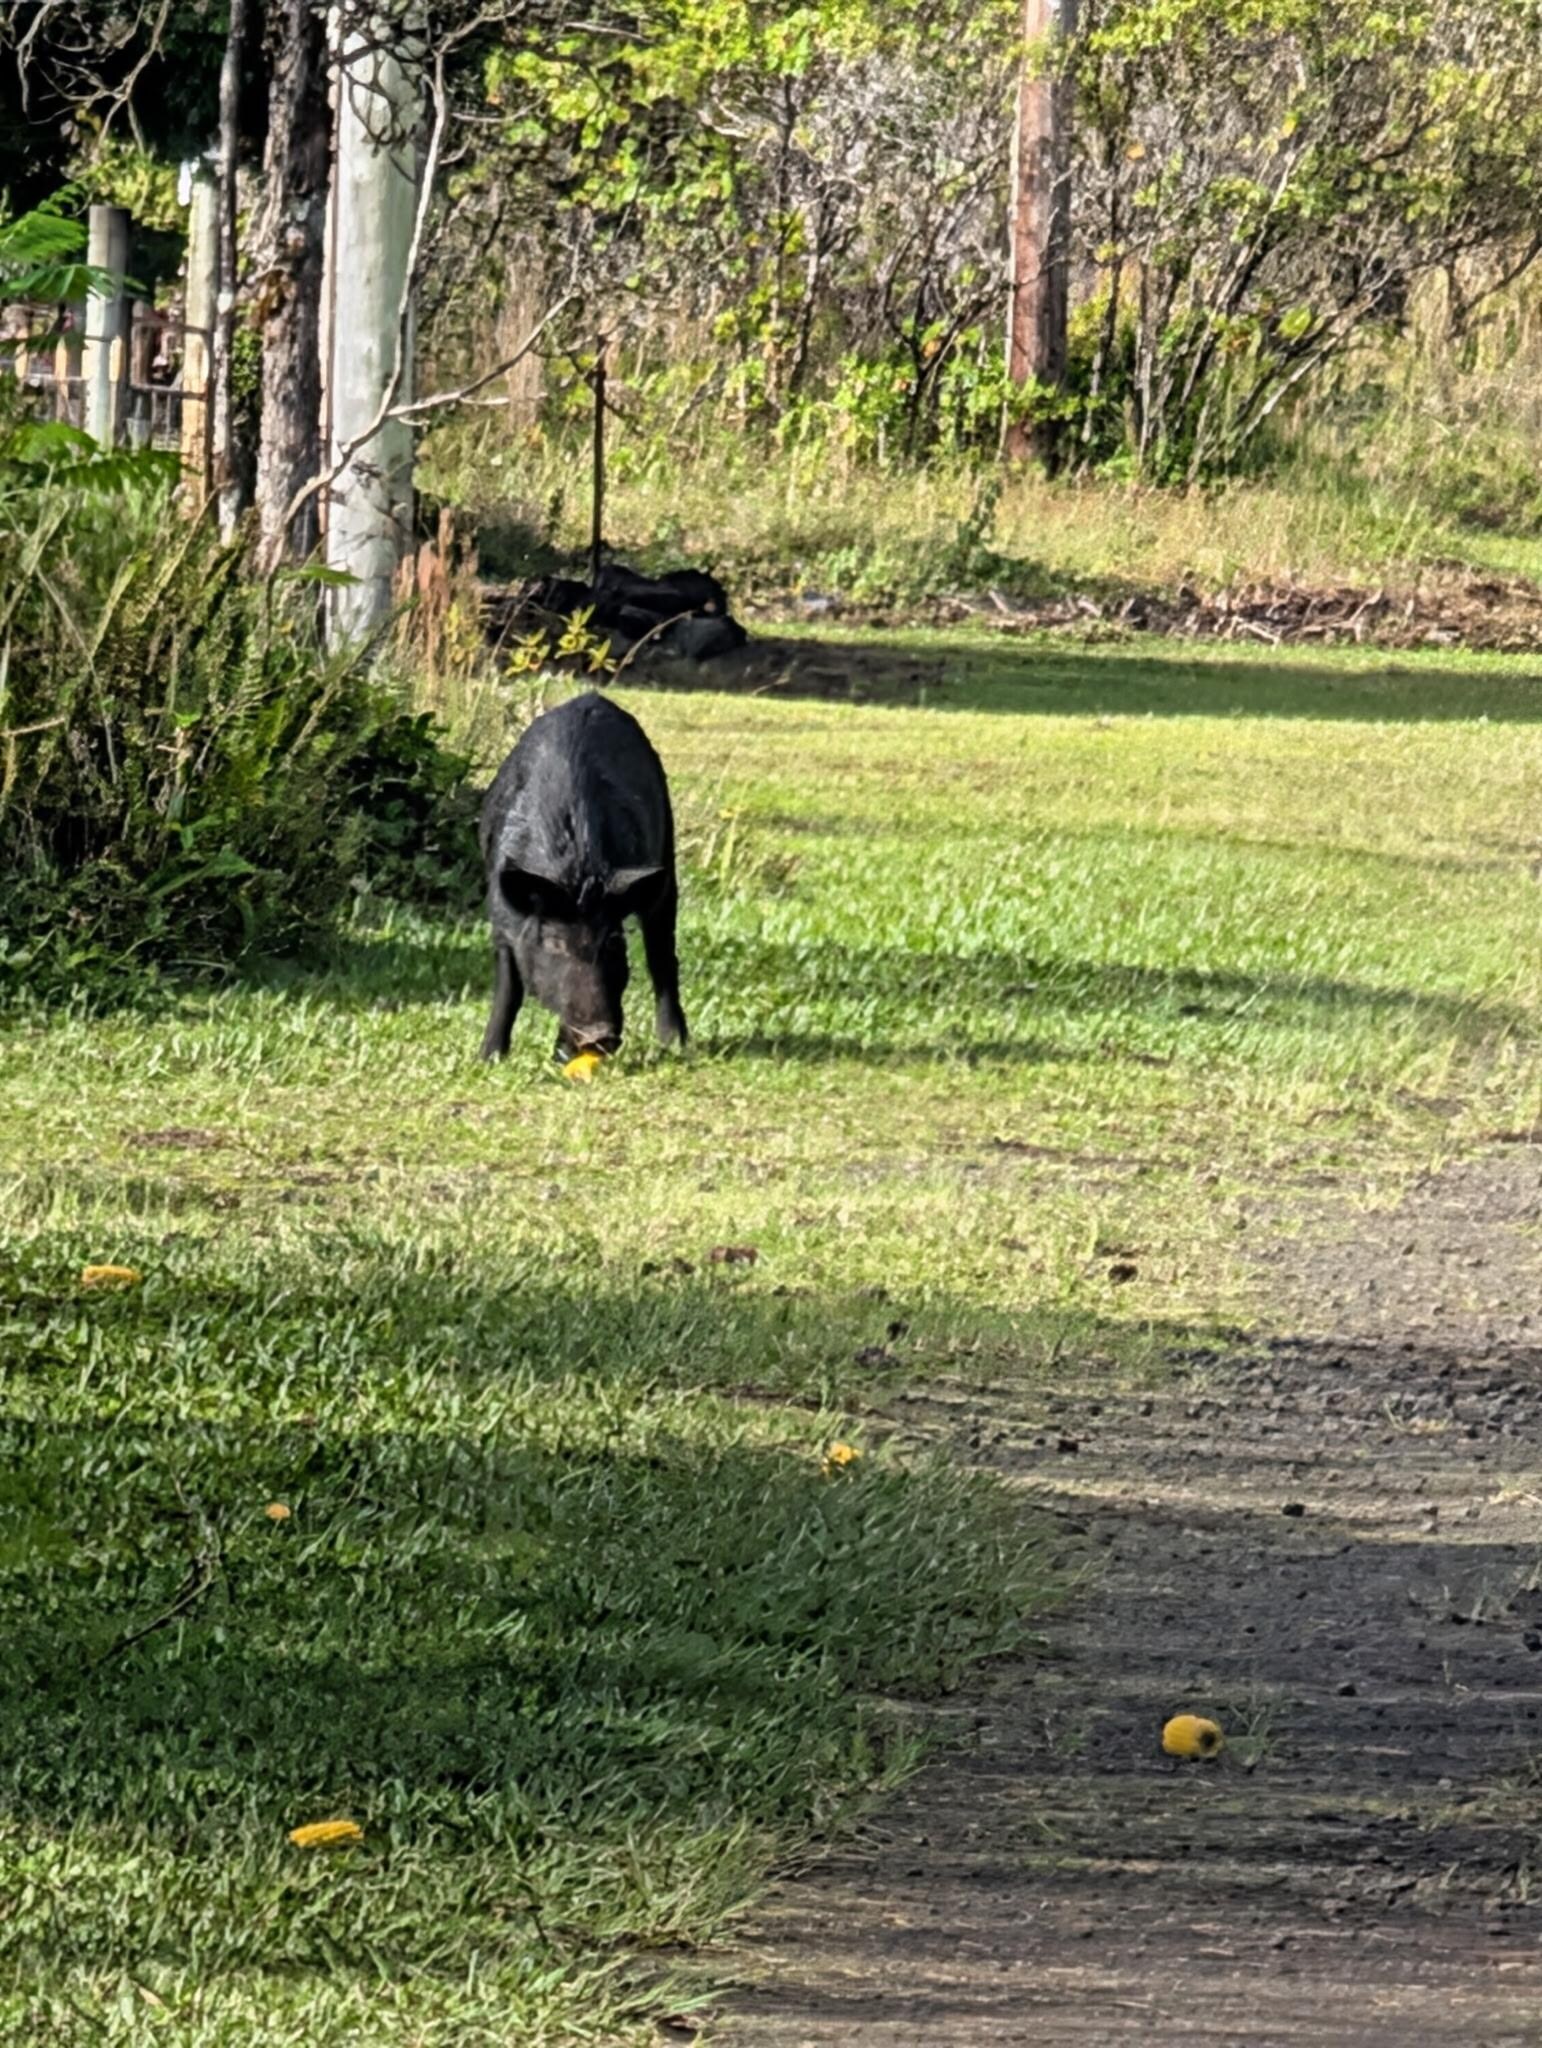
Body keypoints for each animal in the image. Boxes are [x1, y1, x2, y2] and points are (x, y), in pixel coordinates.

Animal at [478, 692, 688, 1062]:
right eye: (554, 942)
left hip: (666, 862)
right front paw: (489, 1057)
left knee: (662, 954)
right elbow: (509, 986)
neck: (577, 867)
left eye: (614, 941)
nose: (598, 1035)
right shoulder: (501, 919)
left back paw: (674, 1043)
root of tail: (593, 697)